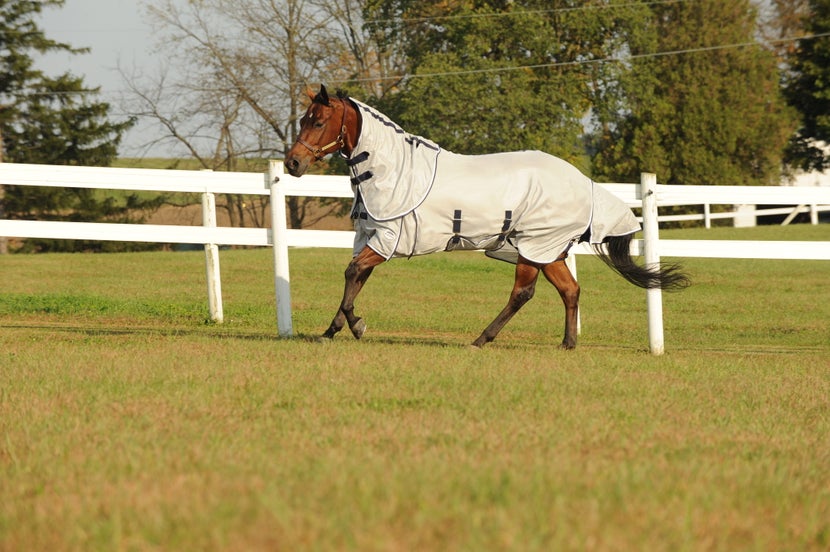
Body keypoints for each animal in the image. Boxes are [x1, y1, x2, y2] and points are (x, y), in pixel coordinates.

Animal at [286, 85, 688, 350]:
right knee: (570, 290)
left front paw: (356, 326)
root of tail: (585, 184)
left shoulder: (387, 240)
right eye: (304, 119)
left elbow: (353, 273)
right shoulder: (372, 238)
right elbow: (355, 277)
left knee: (523, 293)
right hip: (548, 251)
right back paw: (567, 343)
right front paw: (333, 330)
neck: (392, 169)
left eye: (318, 122)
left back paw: (481, 339)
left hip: (533, 247)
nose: (293, 163)